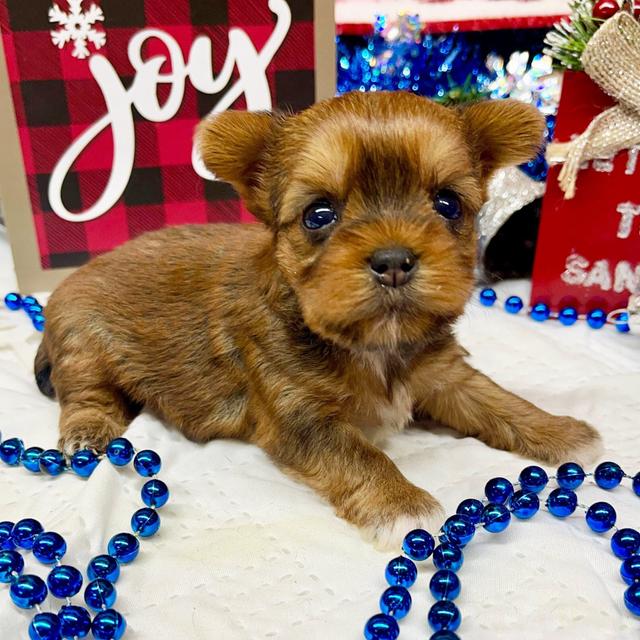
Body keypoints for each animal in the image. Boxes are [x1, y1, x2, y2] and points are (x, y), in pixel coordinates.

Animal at [36, 92, 600, 548]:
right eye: (319, 215)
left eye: (447, 204)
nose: (394, 261)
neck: (372, 344)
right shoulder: (302, 416)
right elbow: (361, 455)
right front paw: (404, 507)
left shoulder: (443, 375)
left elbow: (495, 398)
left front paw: (561, 431)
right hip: (83, 339)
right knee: (84, 392)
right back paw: (88, 431)